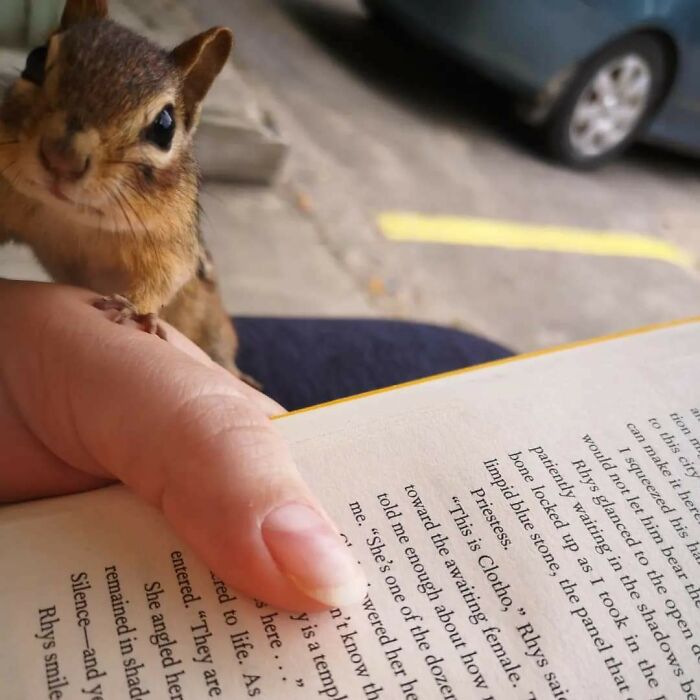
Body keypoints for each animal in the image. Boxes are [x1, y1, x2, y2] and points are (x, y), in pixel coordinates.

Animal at [0, 0, 252, 381]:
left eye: (165, 126)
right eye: (35, 60)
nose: (62, 158)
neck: (71, 218)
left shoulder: (171, 244)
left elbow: (164, 277)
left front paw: (134, 308)